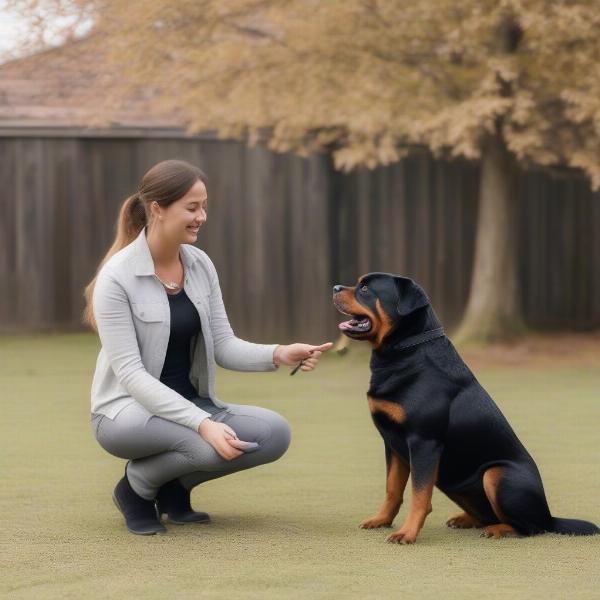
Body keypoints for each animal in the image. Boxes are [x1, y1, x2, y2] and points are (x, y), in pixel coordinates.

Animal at [330, 274, 596, 548]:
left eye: (364, 289)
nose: (335, 287)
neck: (405, 350)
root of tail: (549, 516)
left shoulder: (423, 442)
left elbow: (419, 494)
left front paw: (407, 533)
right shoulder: (393, 443)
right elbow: (393, 489)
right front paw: (381, 520)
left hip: (496, 473)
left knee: (530, 528)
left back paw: (498, 529)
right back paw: (466, 519)